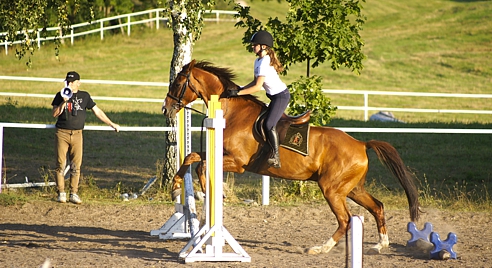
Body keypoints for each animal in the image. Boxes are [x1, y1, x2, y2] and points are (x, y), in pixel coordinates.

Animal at [161, 59, 418, 254]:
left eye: (178, 83)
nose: (165, 108)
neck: (233, 113)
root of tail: (361, 144)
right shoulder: (223, 154)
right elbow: (192, 157)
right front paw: (176, 187)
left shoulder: (237, 162)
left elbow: (202, 165)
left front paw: (212, 192)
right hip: (353, 188)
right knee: (377, 207)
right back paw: (380, 244)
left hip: (332, 189)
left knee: (346, 219)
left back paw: (321, 248)